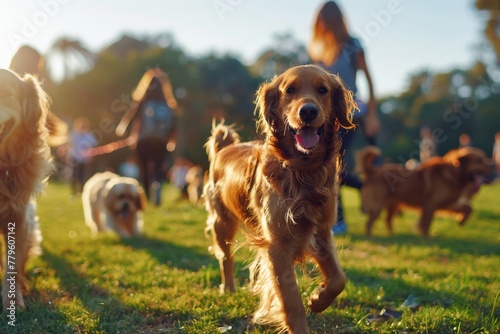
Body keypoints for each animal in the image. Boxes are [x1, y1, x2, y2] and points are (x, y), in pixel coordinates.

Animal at [203, 64, 356, 332]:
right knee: (226, 257)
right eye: (290, 90)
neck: (303, 170)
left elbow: (339, 278)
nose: (308, 111)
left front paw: (318, 299)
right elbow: (291, 300)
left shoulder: (321, 231)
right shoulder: (277, 245)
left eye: (323, 90)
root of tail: (225, 148)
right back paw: (228, 288)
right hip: (222, 222)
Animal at [358, 145, 494, 236]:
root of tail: (372, 170)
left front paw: (461, 221)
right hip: (377, 206)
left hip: (394, 205)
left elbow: (469, 208)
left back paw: (392, 236)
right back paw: (371, 236)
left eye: (484, 158)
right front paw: (426, 237)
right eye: (479, 160)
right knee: (369, 223)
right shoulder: (431, 204)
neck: (453, 174)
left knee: (387, 220)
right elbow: (426, 222)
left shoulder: (448, 202)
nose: (493, 165)